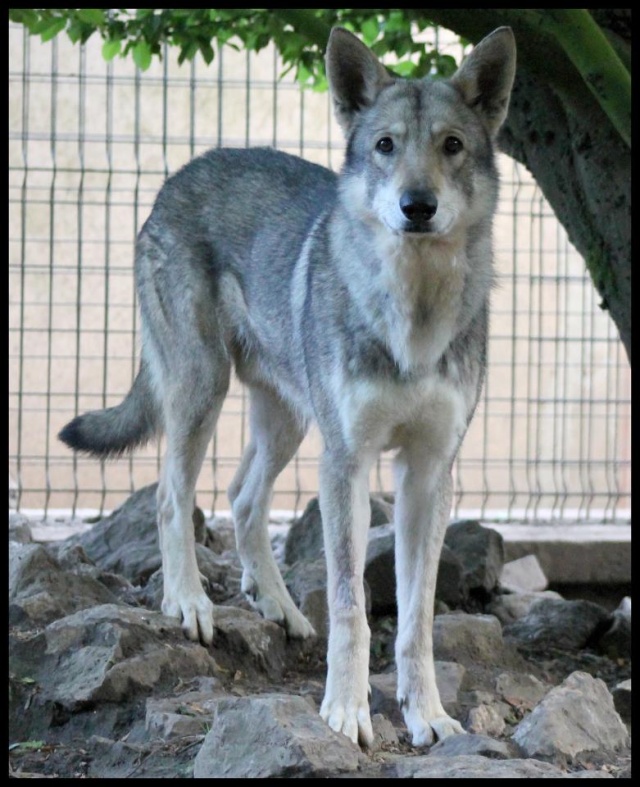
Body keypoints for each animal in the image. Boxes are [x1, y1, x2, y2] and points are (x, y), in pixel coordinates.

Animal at [58, 27, 516, 748]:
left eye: (451, 145)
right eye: (385, 145)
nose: (418, 207)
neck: (412, 314)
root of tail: (177, 175)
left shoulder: (428, 474)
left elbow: (416, 618)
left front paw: (430, 715)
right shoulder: (346, 463)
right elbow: (353, 607)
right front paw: (346, 713)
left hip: (287, 422)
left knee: (242, 498)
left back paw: (278, 607)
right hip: (203, 392)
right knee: (170, 497)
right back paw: (189, 602)